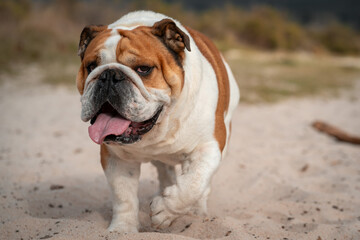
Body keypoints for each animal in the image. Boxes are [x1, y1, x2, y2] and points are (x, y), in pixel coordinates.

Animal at [76, 10, 239, 232]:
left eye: (143, 69)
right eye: (91, 66)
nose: (108, 75)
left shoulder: (208, 147)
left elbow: (193, 184)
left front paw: (164, 211)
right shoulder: (116, 157)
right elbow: (123, 196)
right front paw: (122, 229)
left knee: (200, 187)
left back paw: (197, 212)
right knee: (166, 171)